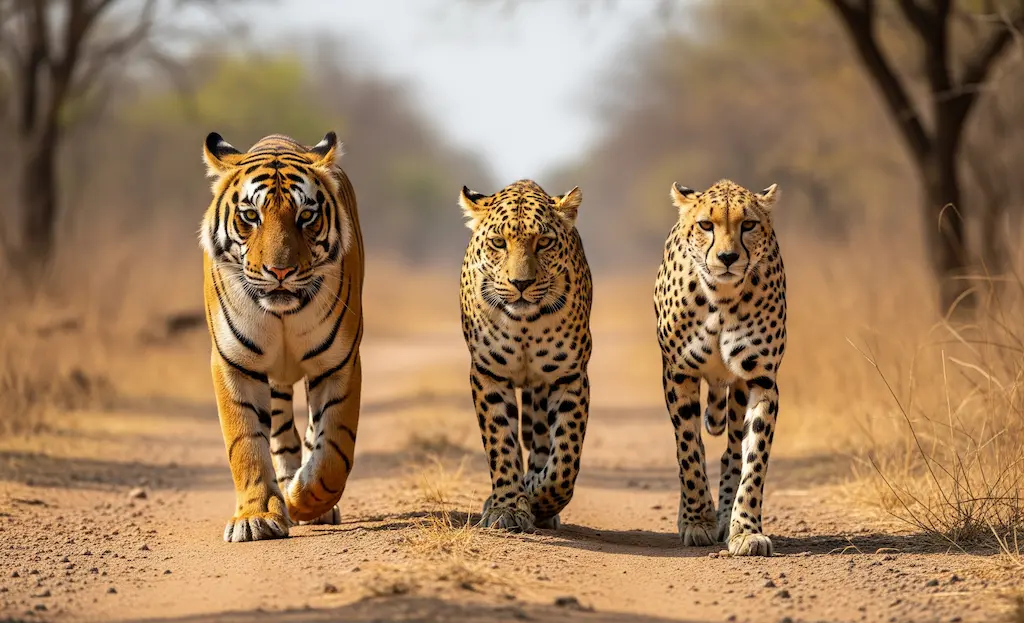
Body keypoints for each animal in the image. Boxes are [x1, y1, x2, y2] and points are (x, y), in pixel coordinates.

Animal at [200, 131, 364, 542]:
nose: (280, 271)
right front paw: (255, 518)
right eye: (250, 216)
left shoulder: (338, 364)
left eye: (306, 216)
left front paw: (302, 501)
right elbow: (245, 444)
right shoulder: (234, 363)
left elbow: (334, 450)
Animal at [458, 179, 593, 533]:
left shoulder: (568, 375)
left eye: (543, 242)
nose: (521, 283)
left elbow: (565, 460)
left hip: (541, 387)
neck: (524, 324)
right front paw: (506, 507)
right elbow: (501, 443)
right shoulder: (489, 374)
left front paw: (540, 499)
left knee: (542, 439)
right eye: (498, 243)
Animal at [653, 179, 787, 557]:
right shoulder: (678, 374)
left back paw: (726, 516)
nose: (728, 258)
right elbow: (688, 450)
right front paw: (697, 521)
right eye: (706, 225)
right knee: (696, 445)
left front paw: (744, 530)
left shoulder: (761, 379)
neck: (722, 298)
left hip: (737, 388)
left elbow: (753, 459)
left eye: (749, 225)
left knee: (731, 452)